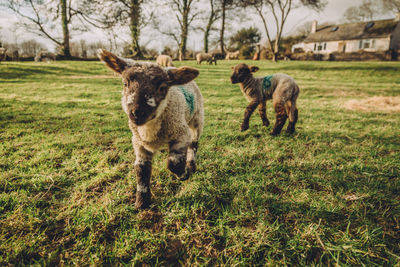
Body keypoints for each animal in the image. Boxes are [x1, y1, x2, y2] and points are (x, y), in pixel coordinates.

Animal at [97, 49, 203, 210]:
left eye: (162, 88)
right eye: (125, 83)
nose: (137, 113)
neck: (149, 130)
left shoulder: (181, 133)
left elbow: (173, 164)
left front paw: (183, 174)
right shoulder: (139, 144)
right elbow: (141, 170)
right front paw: (142, 202)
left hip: (197, 119)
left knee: (194, 144)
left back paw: (191, 165)